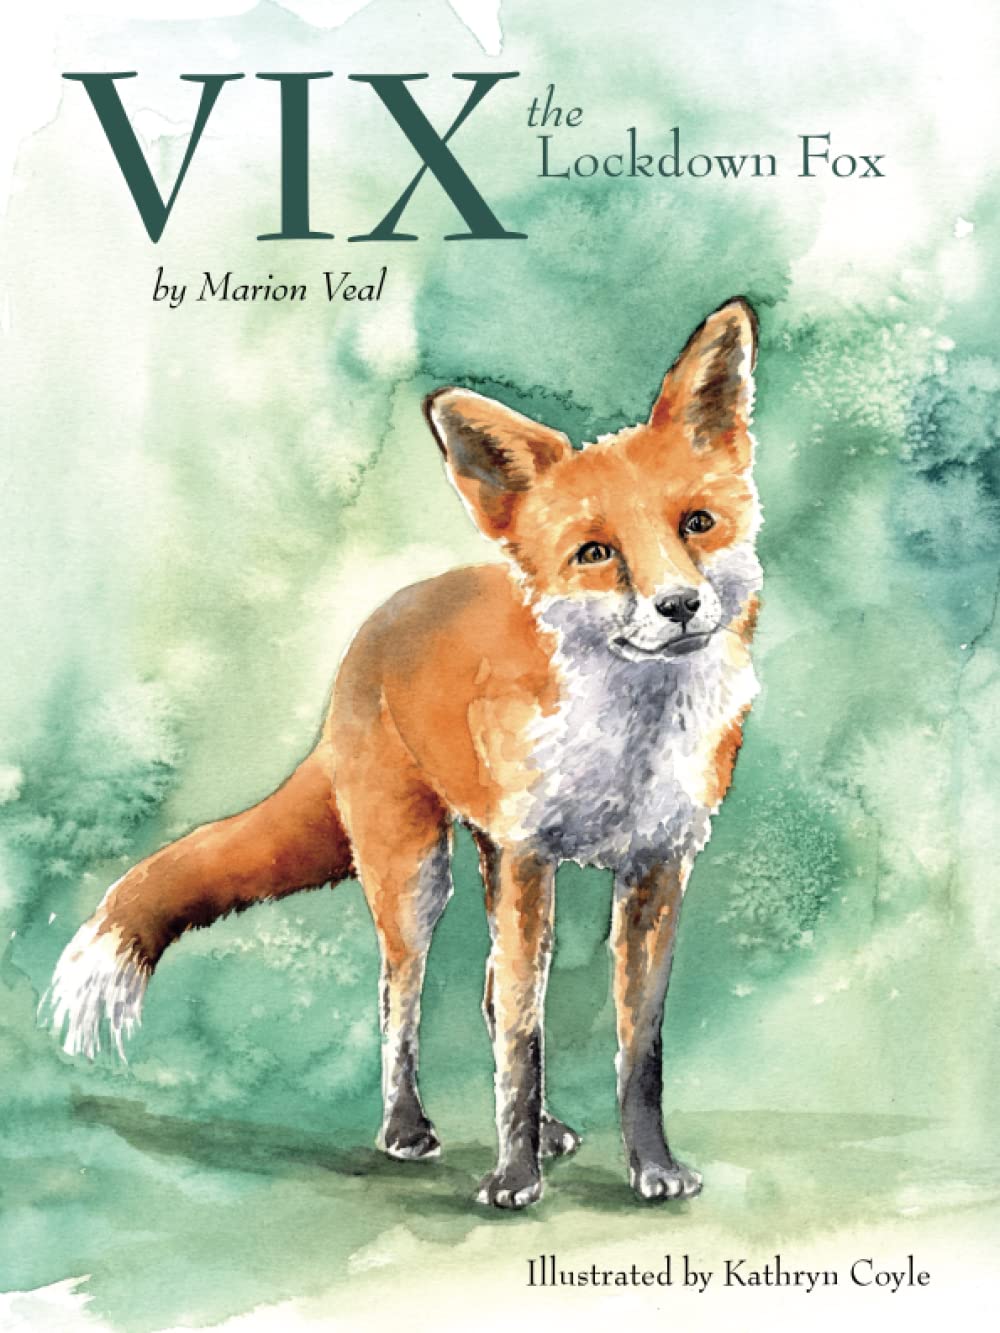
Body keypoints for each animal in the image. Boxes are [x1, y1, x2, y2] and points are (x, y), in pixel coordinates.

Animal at [46, 297, 763, 1210]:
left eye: (697, 524)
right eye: (598, 553)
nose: (679, 606)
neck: (626, 745)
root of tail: (374, 625)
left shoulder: (657, 864)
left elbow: (638, 1049)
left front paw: (652, 1167)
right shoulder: (530, 855)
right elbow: (522, 1041)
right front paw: (513, 1176)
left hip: (484, 861)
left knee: (489, 991)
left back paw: (544, 1130)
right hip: (418, 874)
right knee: (401, 996)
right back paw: (405, 1129)